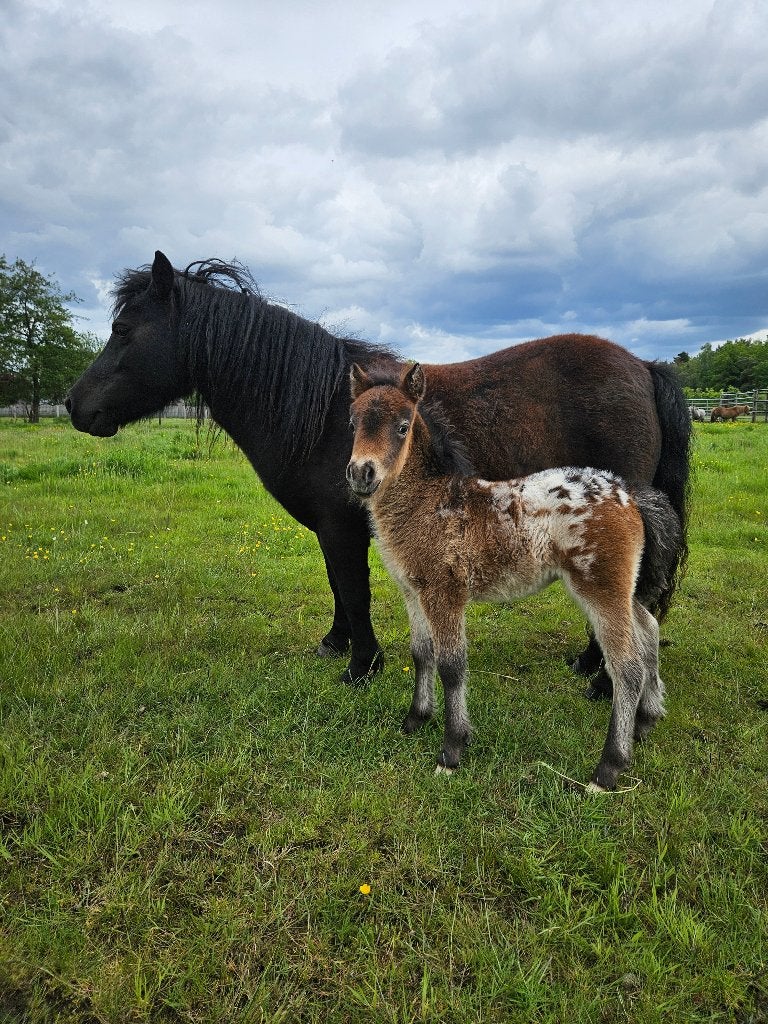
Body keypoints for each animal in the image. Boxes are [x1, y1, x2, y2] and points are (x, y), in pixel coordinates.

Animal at [66, 251, 691, 693]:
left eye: (124, 330)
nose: (75, 405)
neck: (322, 410)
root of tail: (643, 367)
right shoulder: (331, 527)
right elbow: (337, 587)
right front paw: (336, 644)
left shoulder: (343, 528)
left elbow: (354, 589)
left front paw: (362, 666)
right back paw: (589, 662)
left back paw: (605, 680)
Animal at [347, 363, 682, 790]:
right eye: (353, 422)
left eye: (402, 426)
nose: (361, 473)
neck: (432, 502)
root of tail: (630, 494)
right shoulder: (413, 591)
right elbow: (422, 654)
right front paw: (415, 720)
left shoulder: (446, 592)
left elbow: (451, 665)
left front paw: (451, 751)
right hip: (623, 587)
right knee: (649, 629)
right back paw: (646, 722)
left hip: (601, 587)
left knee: (627, 668)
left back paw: (607, 769)